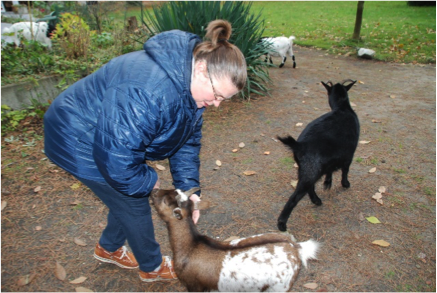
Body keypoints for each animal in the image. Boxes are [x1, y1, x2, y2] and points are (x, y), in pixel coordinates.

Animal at [150, 187, 316, 292]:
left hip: (280, 287)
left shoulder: (194, 285)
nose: (153, 191)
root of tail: (296, 247)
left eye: (166, 201)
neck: (191, 247)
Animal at [278, 79, 360, 230]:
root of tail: (301, 145)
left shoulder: (332, 158)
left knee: (310, 187)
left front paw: (328, 182)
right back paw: (282, 224)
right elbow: (345, 170)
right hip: (311, 170)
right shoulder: (349, 153)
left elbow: (330, 170)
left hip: (305, 168)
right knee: (295, 197)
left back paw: (316, 200)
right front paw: (345, 184)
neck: (342, 108)